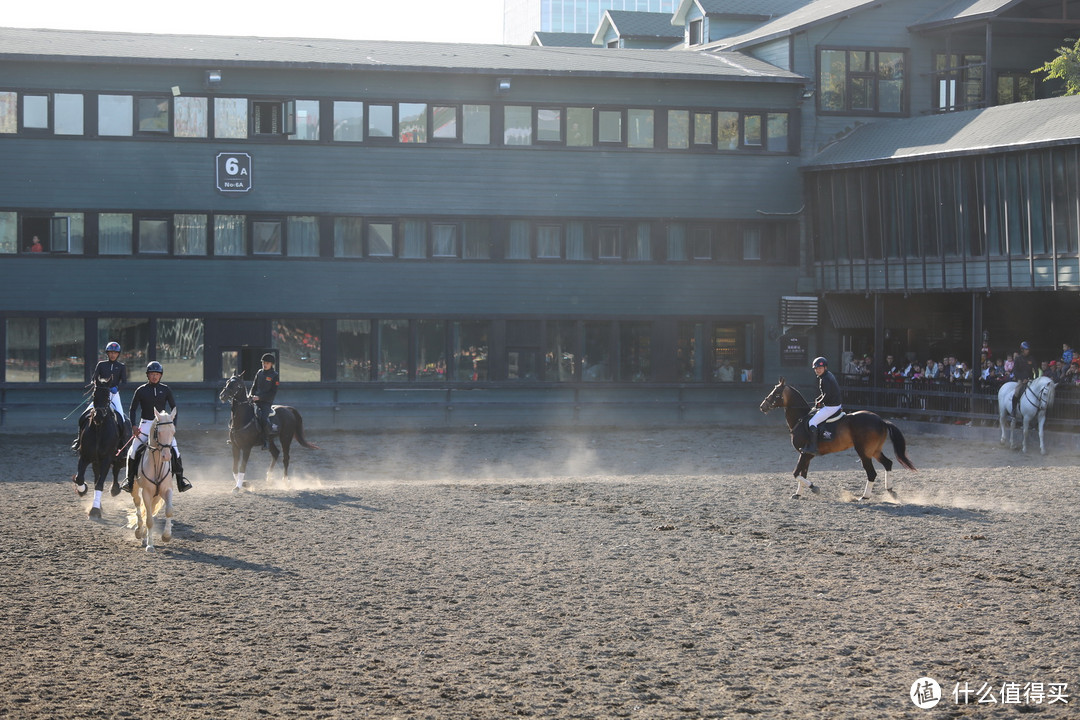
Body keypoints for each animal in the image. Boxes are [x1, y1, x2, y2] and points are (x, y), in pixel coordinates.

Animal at [72, 379, 124, 515]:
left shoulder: (107, 459)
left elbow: (100, 484)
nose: (98, 417)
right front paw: (82, 490)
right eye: (94, 395)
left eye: (107, 396)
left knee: (115, 470)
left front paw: (95, 510)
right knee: (97, 476)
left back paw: (114, 489)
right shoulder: (84, 456)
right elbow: (80, 478)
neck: (99, 429)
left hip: (117, 458)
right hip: (96, 461)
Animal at [130, 408, 177, 557]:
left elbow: (169, 511)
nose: (167, 456)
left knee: (149, 508)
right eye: (159, 432)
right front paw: (150, 545)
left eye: (173, 432)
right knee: (138, 505)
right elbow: (149, 520)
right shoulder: (146, 492)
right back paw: (139, 532)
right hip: (135, 488)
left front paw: (166, 536)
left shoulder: (167, 490)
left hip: (156, 495)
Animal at [756, 377, 915, 500]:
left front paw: (814, 488)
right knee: (888, 463)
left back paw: (865, 496)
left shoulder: (804, 453)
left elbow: (795, 473)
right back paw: (890, 491)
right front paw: (798, 494)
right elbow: (802, 473)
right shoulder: (806, 455)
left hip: (864, 452)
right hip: (874, 450)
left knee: (872, 473)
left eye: (776, 393)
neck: (801, 419)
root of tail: (881, 420)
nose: (762, 406)